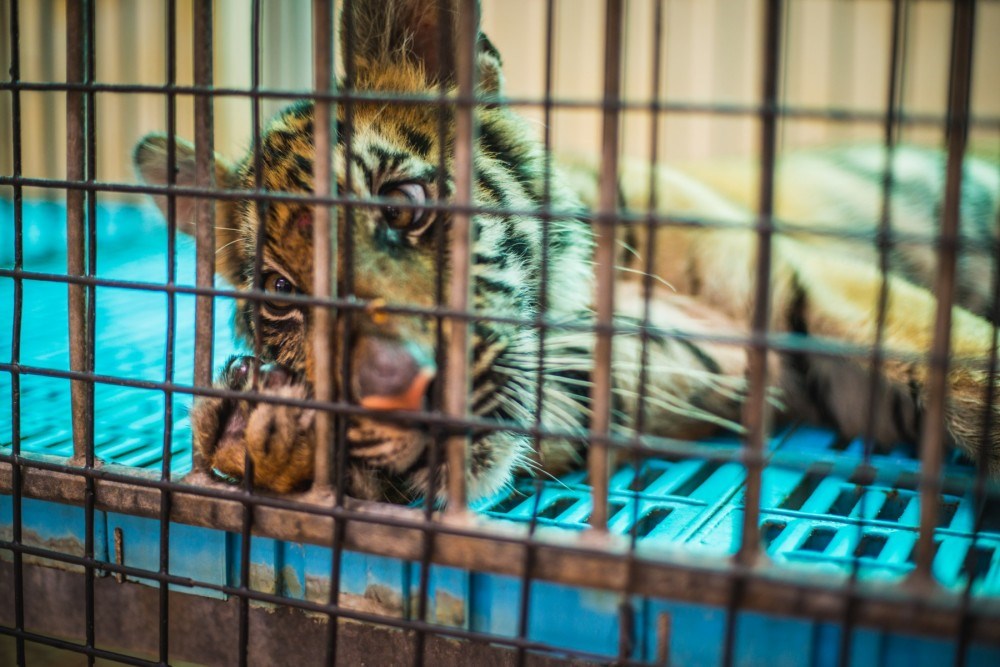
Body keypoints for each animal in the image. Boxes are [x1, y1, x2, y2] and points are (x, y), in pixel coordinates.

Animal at [133, 0, 999, 503]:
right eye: (282, 294)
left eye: (403, 204)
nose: (393, 390)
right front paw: (264, 424)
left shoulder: (804, 289)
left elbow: (962, 368)